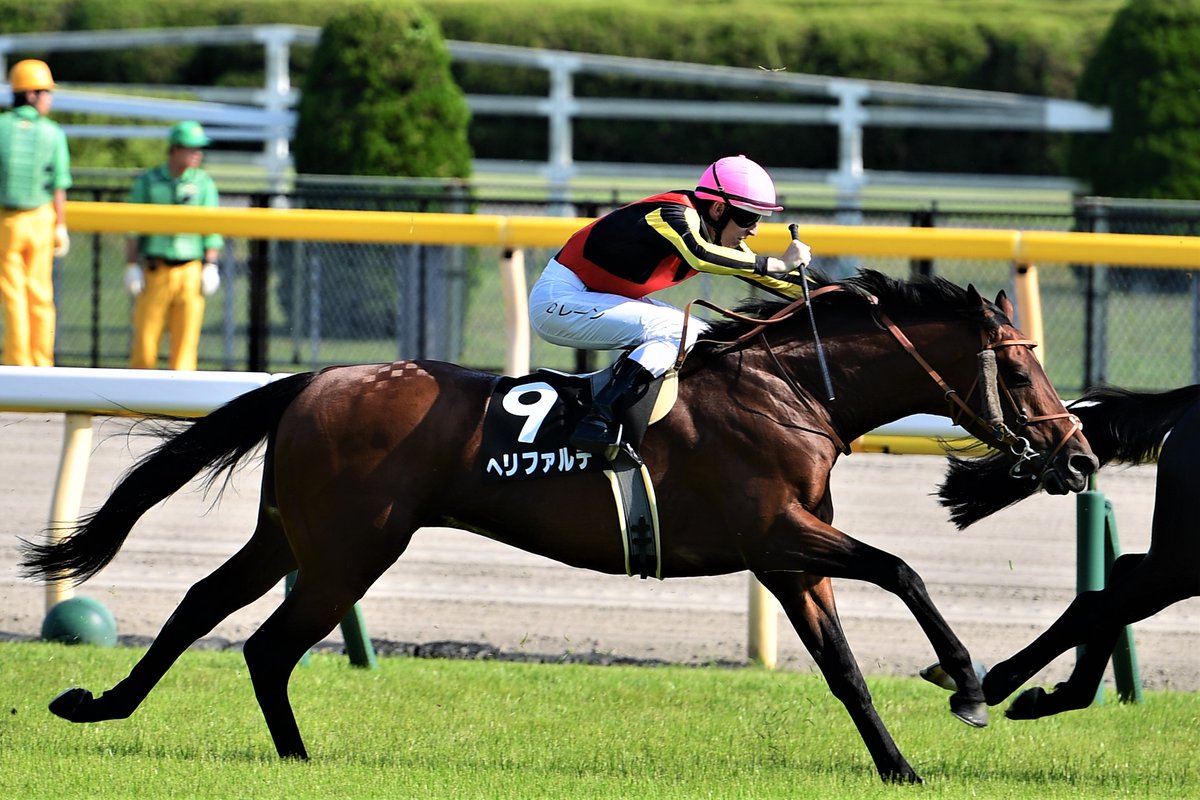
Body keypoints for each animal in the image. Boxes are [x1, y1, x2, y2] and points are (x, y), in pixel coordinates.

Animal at [21, 269, 1098, 784]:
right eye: (1022, 364)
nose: (1078, 454)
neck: (792, 391)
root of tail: (314, 379)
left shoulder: (789, 559)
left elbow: (843, 670)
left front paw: (900, 765)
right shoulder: (778, 533)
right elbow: (907, 570)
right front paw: (967, 684)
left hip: (294, 534)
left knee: (206, 606)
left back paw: (101, 705)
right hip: (352, 546)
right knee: (269, 643)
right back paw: (293, 758)